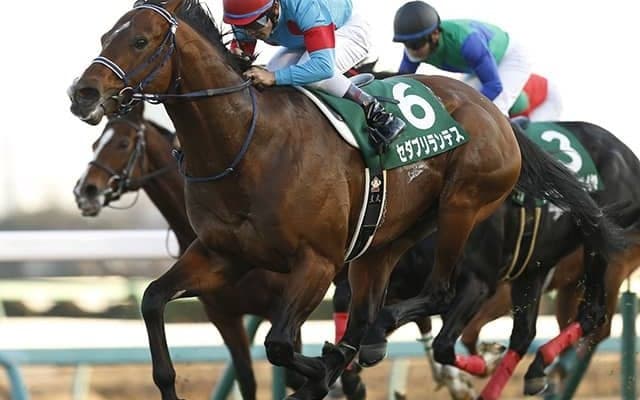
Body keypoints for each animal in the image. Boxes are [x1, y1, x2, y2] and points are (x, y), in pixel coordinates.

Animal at [358, 121, 638, 399]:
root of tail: (628, 156)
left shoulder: (479, 284)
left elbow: (444, 344)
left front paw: (482, 364)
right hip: (533, 270)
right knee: (525, 333)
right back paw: (534, 372)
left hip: (599, 245)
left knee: (593, 313)